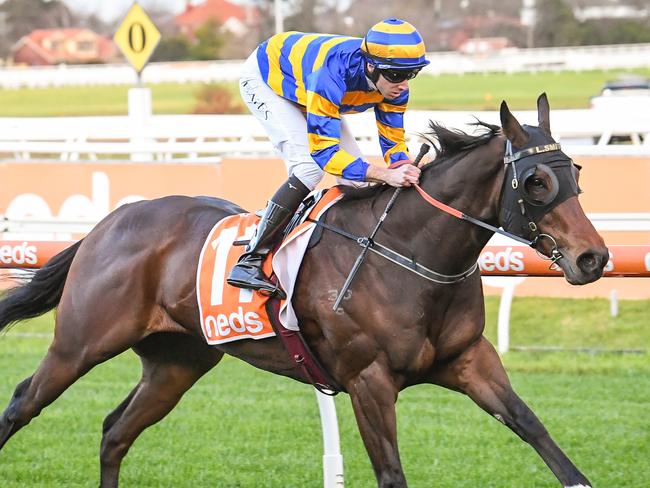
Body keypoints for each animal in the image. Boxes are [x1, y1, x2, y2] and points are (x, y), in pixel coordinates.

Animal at [0, 93, 608, 486]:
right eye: (536, 182)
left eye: (577, 172)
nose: (594, 257)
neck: (410, 254)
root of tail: (109, 223)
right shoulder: (368, 381)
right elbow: (391, 472)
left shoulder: (468, 360)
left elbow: (535, 429)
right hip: (82, 342)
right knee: (23, 403)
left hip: (177, 361)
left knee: (114, 432)